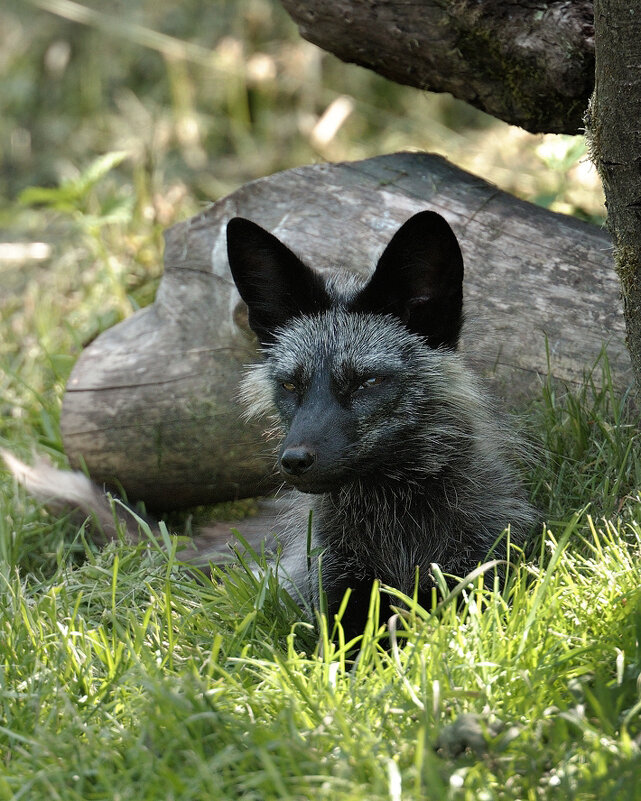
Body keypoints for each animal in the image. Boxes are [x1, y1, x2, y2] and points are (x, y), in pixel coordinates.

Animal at [225, 209, 536, 636]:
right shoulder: (336, 590)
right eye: (289, 385)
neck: (395, 533)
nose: (294, 462)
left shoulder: (473, 574)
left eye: (367, 382)